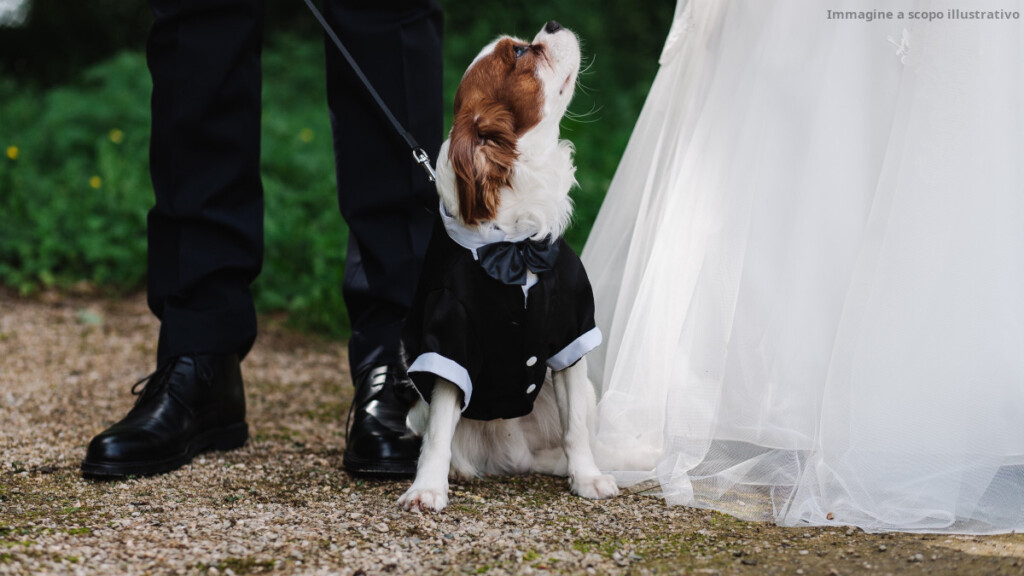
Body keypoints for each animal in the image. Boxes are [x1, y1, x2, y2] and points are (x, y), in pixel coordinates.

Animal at [393, 21, 614, 510]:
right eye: (519, 53)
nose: (552, 24)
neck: (515, 244)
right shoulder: (449, 343)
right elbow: (439, 433)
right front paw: (427, 488)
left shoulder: (571, 336)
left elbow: (576, 428)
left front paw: (588, 477)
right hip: (416, 402)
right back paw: (459, 469)